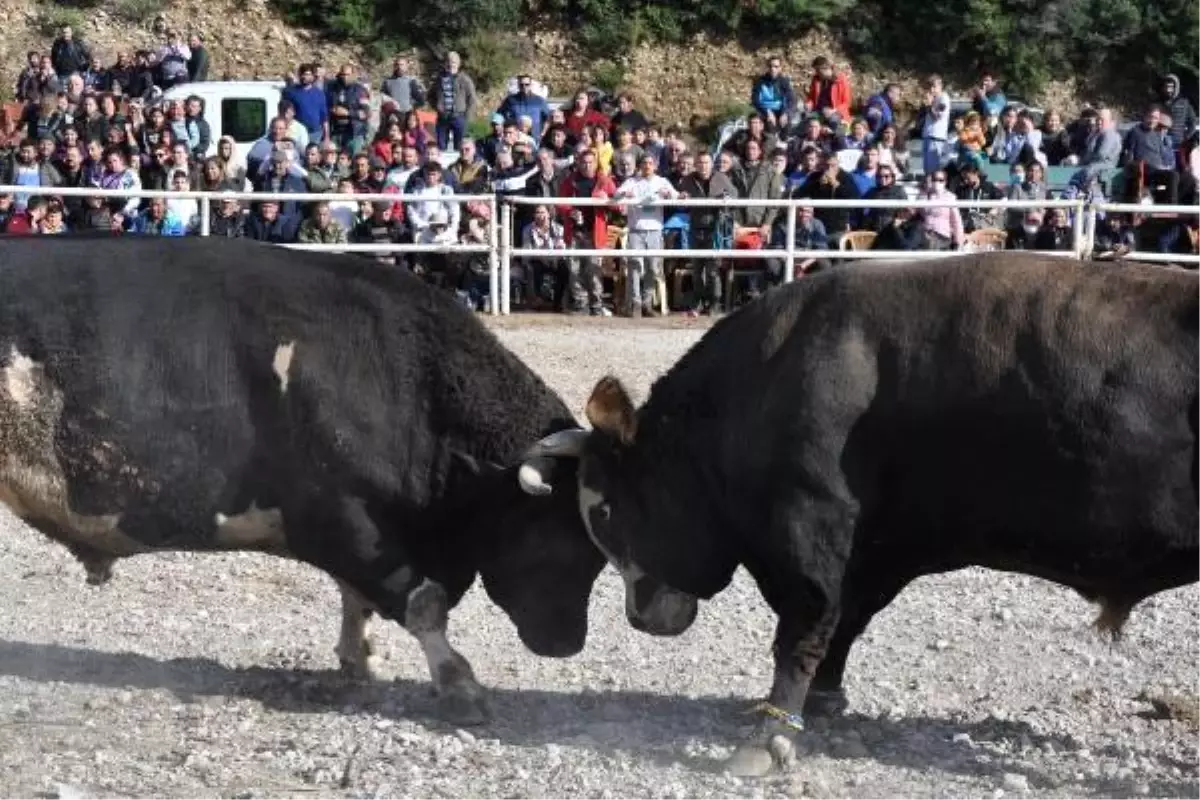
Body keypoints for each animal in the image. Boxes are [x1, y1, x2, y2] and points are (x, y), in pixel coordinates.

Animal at [0, 236, 604, 724]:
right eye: (554, 541)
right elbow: (421, 603)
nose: (567, 643)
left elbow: (357, 598)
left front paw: (357, 660)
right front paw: (460, 686)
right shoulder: (340, 516)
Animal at [523, 251, 1200, 777]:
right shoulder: (874, 551)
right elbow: (844, 625)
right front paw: (823, 702)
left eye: (605, 510)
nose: (640, 618)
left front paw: (769, 736)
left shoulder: (810, 534)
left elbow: (802, 633)